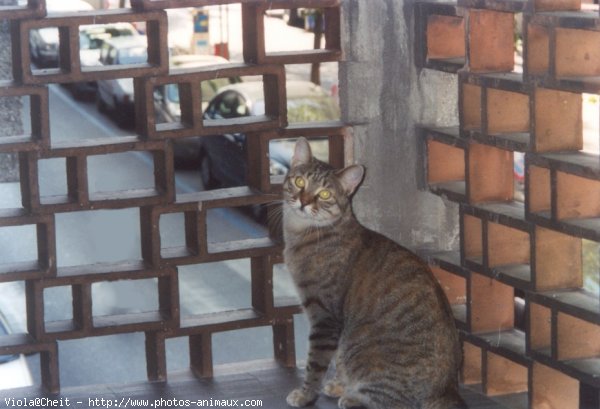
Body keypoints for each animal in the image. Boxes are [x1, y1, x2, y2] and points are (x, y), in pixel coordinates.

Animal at [284, 138, 466, 408]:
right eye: (299, 182)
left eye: (325, 194)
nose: (304, 201)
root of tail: (448, 389)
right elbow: (338, 360)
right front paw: (339, 383)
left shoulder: (324, 317)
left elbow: (315, 365)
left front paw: (306, 394)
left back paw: (352, 398)